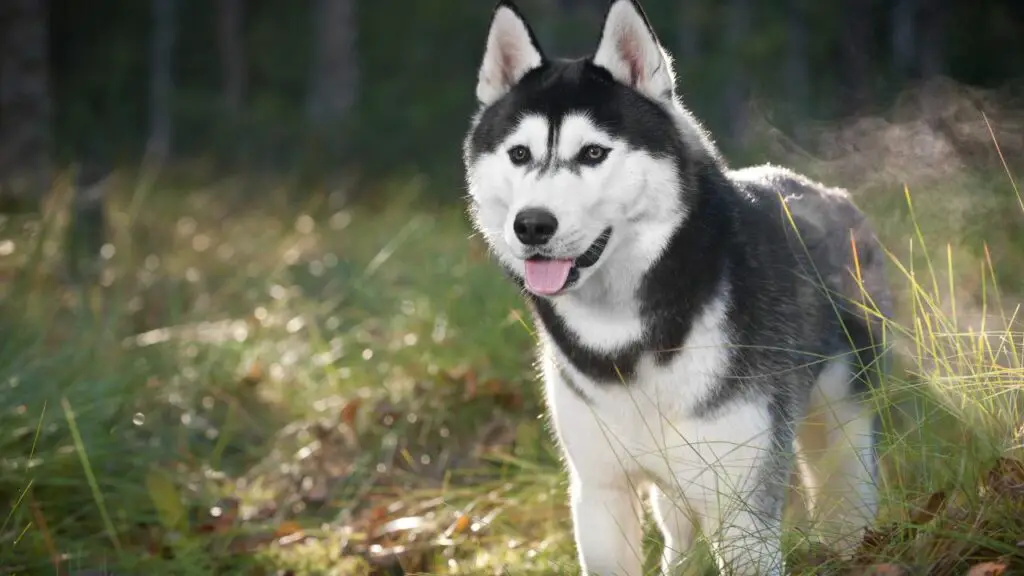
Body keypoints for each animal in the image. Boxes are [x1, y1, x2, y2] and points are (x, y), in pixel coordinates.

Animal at [460, 2, 892, 569]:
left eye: (593, 153)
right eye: (519, 154)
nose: (531, 225)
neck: (625, 337)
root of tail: (830, 193)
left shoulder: (742, 507)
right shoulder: (601, 493)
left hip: (841, 430)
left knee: (846, 495)